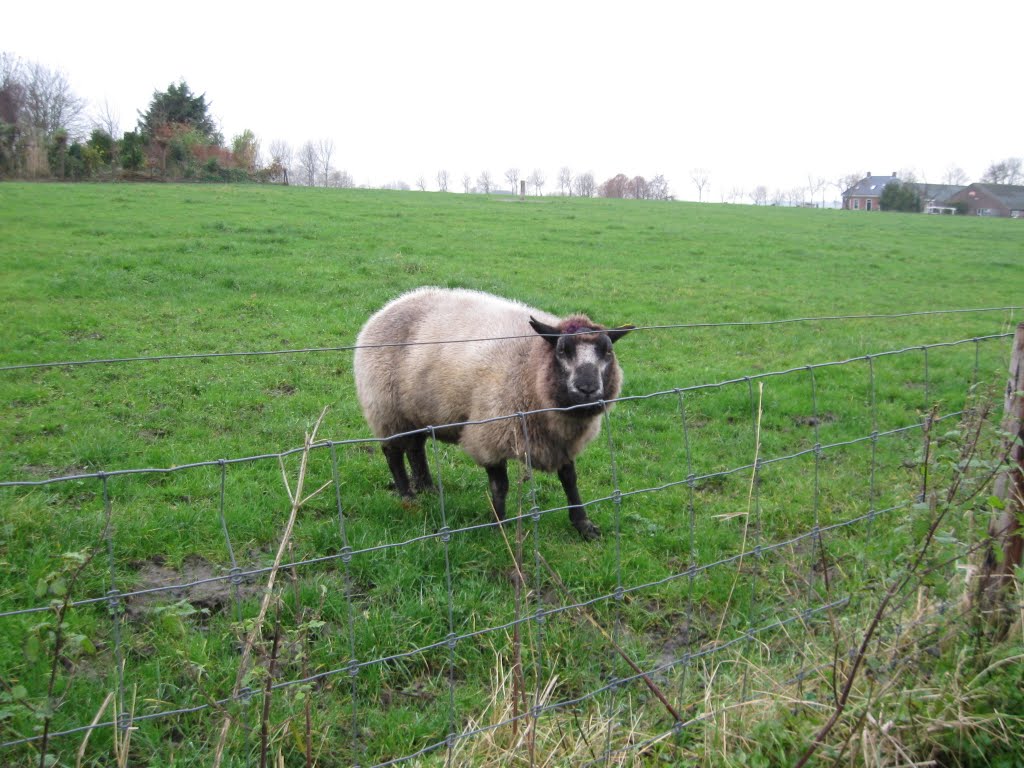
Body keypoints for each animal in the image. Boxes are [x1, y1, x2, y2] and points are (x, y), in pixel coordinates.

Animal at [352, 288, 630, 540]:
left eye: (607, 352)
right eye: (562, 350)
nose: (587, 389)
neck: (530, 364)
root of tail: (387, 307)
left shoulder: (561, 442)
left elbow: (570, 479)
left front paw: (584, 525)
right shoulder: (491, 434)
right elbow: (500, 486)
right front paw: (500, 526)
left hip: (415, 410)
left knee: (416, 448)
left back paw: (428, 488)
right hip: (387, 409)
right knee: (392, 452)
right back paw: (408, 495)